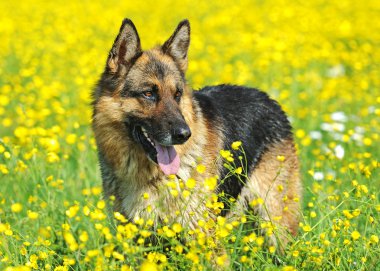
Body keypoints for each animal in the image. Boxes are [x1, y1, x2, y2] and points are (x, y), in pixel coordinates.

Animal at [93, 18, 302, 250]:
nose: (184, 134)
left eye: (177, 94)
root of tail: (269, 99)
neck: (150, 176)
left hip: (276, 223)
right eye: (148, 94)